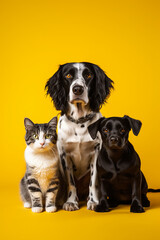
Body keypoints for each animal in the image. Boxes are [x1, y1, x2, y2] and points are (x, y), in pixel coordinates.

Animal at [44, 62, 113, 210]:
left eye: (88, 75)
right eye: (68, 75)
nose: (77, 89)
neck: (79, 122)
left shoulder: (96, 153)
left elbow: (93, 181)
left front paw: (94, 201)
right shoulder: (65, 155)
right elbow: (71, 183)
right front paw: (71, 202)